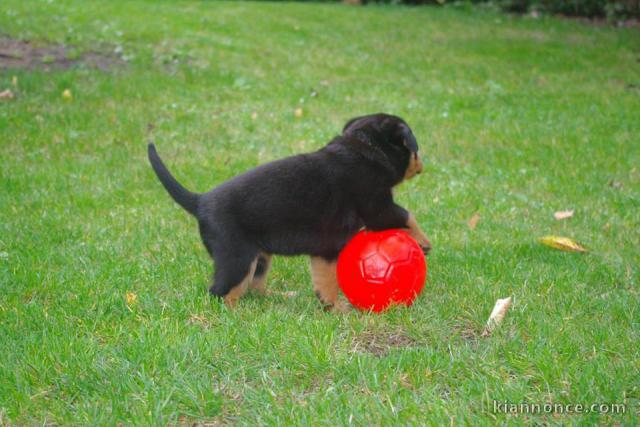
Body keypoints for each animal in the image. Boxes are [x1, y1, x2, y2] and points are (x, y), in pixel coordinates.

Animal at [148, 113, 432, 312]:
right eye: (415, 149)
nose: (423, 164)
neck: (365, 147)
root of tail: (200, 201)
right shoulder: (378, 207)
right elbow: (407, 215)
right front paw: (424, 242)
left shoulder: (325, 250)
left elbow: (324, 283)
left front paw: (333, 308)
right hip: (236, 257)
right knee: (221, 292)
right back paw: (236, 316)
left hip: (259, 256)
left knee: (255, 287)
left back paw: (276, 299)